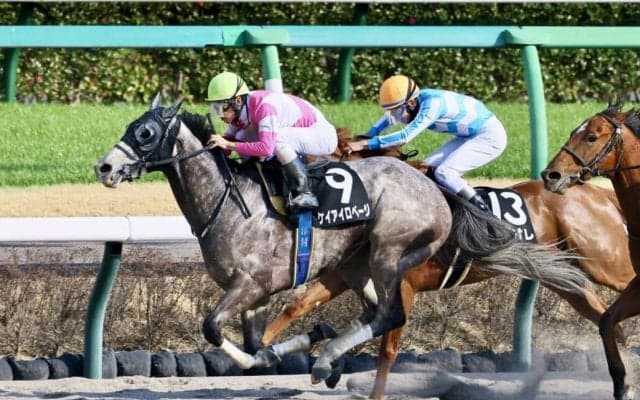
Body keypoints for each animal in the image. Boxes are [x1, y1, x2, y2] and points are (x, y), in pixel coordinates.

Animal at [94, 96, 588, 385]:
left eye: (145, 132)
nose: (104, 167)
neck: (231, 202)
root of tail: (435, 186)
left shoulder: (251, 284)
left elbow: (214, 329)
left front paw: (292, 348)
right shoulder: (255, 292)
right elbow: (256, 343)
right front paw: (299, 342)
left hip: (390, 252)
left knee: (389, 313)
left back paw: (328, 357)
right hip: (356, 264)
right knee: (373, 312)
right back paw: (326, 357)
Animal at [257, 128, 634, 400]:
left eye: (313, 161)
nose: (288, 194)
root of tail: (597, 192)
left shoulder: (402, 286)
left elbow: (387, 350)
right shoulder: (344, 275)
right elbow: (296, 306)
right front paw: (260, 351)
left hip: (606, 262)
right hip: (566, 279)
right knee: (607, 320)